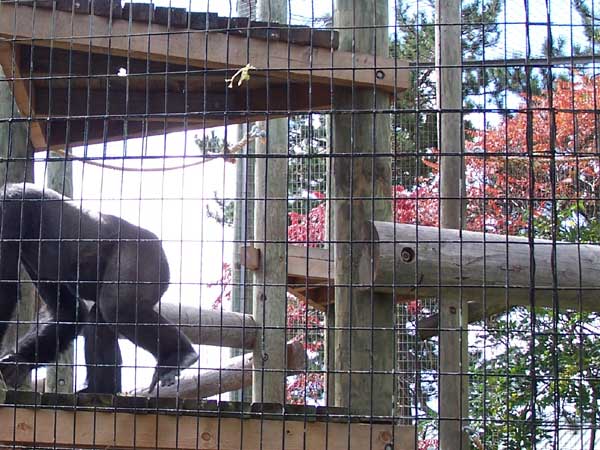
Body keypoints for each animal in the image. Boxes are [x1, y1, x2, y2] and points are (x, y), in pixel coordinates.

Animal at [0, 185, 199, 392]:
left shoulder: (9, 209)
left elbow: (5, 291)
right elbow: (68, 311)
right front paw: (18, 362)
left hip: (144, 256)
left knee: (117, 308)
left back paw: (178, 355)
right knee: (98, 318)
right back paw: (101, 389)